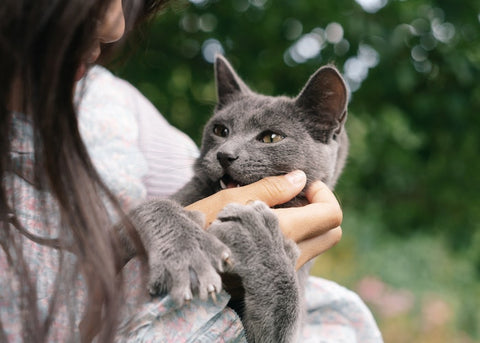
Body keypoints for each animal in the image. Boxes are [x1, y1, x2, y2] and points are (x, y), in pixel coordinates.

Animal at [118, 55, 346, 342]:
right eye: (220, 130)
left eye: (271, 137)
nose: (225, 155)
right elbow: (153, 209)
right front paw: (187, 253)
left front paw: (259, 240)